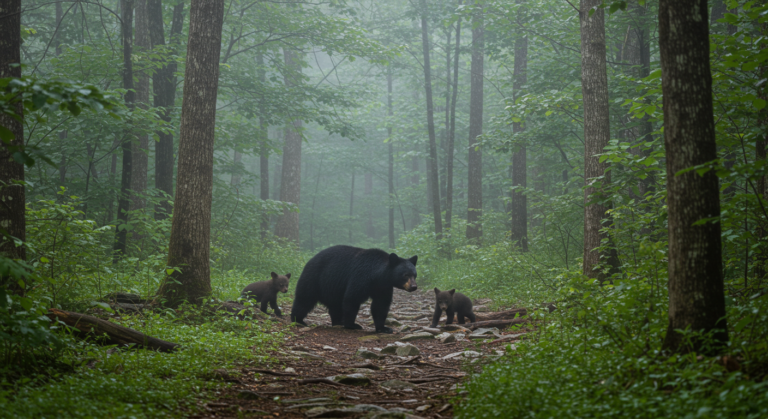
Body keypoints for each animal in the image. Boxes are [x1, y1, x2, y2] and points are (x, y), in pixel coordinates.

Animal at [290, 245, 418, 333]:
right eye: (405, 275)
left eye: (414, 275)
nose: (414, 287)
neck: (377, 276)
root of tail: (310, 260)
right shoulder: (361, 276)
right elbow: (352, 298)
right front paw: (352, 325)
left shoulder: (383, 286)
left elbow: (380, 305)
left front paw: (383, 328)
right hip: (314, 278)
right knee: (304, 299)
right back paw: (298, 319)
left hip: (332, 289)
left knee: (335, 306)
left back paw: (337, 321)